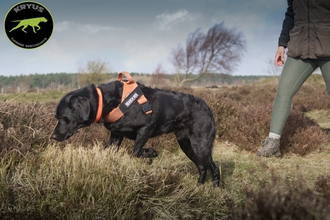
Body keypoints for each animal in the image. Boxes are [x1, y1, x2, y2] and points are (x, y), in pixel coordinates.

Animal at [51, 72, 220, 186]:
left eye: (62, 118)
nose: (53, 136)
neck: (107, 101)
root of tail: (207, 107)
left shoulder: (147, 127)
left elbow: (135, 152)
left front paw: (151, 153)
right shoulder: (116, 135)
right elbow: (111, 151)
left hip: (200, 145)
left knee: (214, 167)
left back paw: (215, 189)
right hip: (186, 144)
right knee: (202, 166)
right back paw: (199, 187)